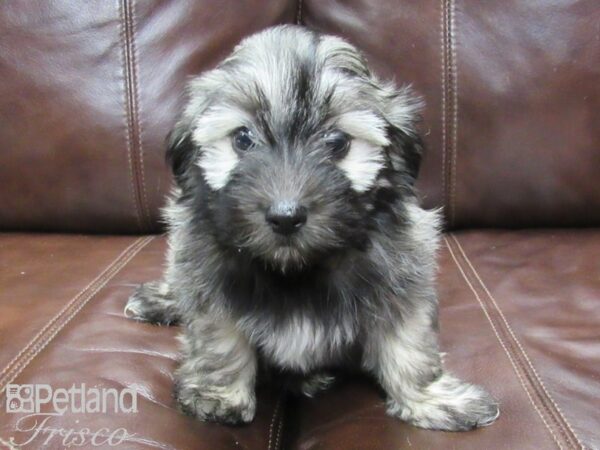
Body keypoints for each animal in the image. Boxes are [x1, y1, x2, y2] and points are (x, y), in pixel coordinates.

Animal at [125, 25, 496, 432]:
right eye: (243, 139)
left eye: (338, 142)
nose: (286, 216)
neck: (297, 270)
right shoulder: (208, 277)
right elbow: (219, 338)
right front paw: (218, 395)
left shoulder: (402, 274)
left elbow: (408, 342)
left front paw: (431, 397)